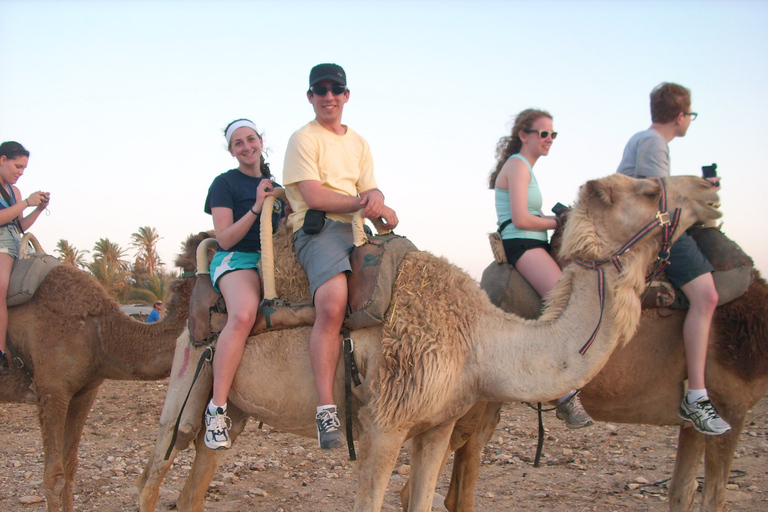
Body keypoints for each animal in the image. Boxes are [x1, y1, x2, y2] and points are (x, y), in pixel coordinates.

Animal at [136, 175, 720, 512]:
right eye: (649, 189)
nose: (711, 189)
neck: (480, 343)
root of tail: (198, 275)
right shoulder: (383, 425)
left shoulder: (438, 426)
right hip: (189, 376)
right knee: (154, 473)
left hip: (233, 408)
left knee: (195, 483)